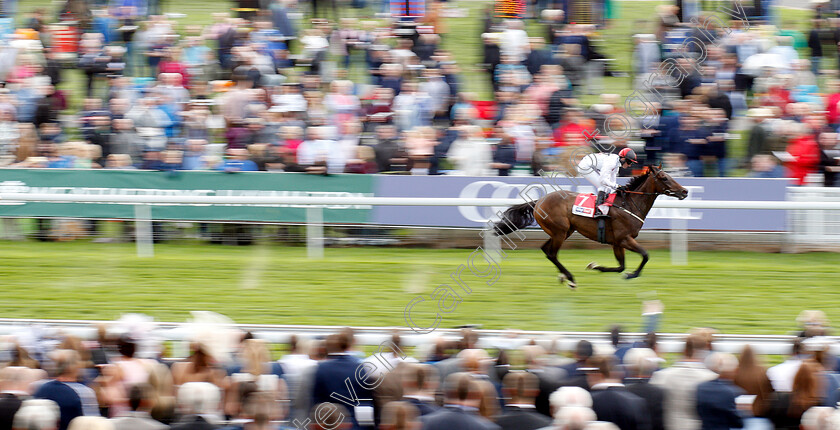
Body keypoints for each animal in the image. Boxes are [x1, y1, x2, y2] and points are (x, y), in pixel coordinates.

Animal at [496, 166, 684, 288]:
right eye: (664, 178)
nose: (685, 191)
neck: (629, 204)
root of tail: (539, 201)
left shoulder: (617, 242)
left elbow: (621, 266)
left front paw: (596, 266)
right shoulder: (624, 238)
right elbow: (645, 255)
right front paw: (631, 275)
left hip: (565, 231)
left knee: (546, 249)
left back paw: (564, 276)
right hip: (560, 231)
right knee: (552, 253)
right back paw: (570, 279)